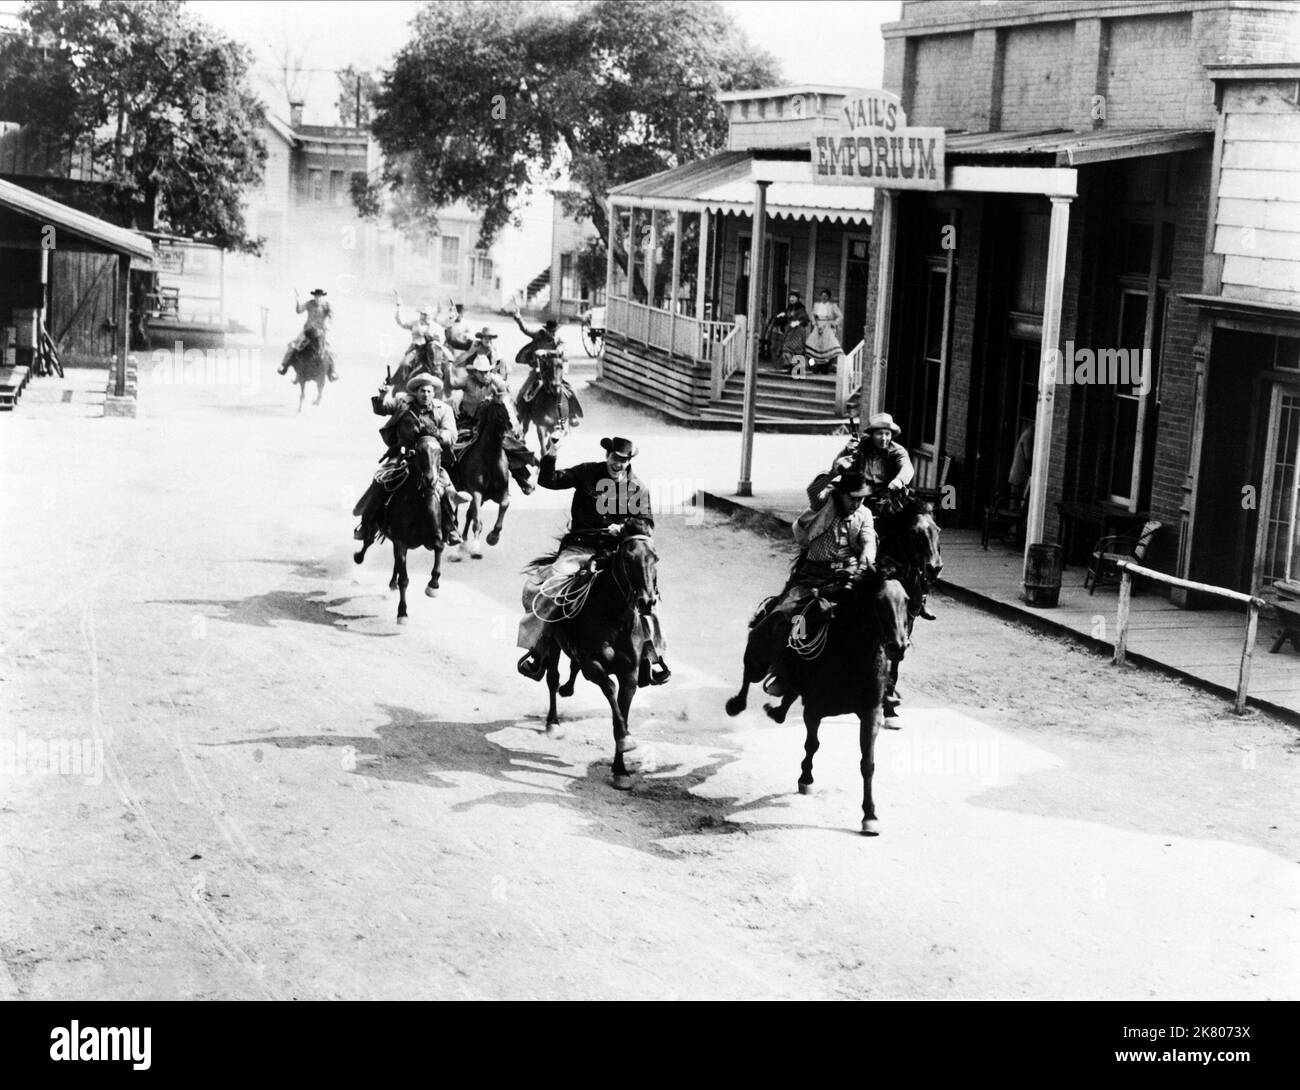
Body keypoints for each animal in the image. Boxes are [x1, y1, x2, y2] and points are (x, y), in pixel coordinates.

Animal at [353, 434, 444, 624]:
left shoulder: (434, 535)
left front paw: (433, 586)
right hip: (373, 520)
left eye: (439, 451)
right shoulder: (400, 541)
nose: (430, 480)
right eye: (418, 451)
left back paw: (393, 583)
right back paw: (359, 556)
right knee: (368, 540)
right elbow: (404, 580)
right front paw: (402, 613)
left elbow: (439, 546)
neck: (418, 503)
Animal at [449, 392, 525, 559]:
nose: (515, 430)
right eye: (499, 404)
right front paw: (476, 549)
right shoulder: (476, 492)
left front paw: (493, 537)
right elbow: (477, 520)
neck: (490, 458)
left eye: (514, 402)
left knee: (469, 514)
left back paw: (463, 543)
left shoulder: (501, 492)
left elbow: (504, 505)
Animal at [533, 533, 660, 790]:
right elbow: (610, 690)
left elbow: (623, 709)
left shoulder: (630, 674)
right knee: (553, 678)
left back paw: (567, 689)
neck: (614, 619)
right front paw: (626, 740)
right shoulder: (592, 665)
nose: (647, 601)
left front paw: (620, 770)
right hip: (553, 643)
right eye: (628, 558)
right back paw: (553, 723)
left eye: (656, 558)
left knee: (570, 670)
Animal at [722, 572, 915, 837]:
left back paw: (776, 710)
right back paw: (736, 705)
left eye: (906, 601)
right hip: (757, 658)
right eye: (878, 601)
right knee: (748, 677)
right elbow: (812, 744)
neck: (850, 658)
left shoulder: (870, 712)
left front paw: (870, 816)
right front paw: (806, 779)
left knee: (787, 694)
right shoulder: (814, 709)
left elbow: (867, 763)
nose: (899, 646)